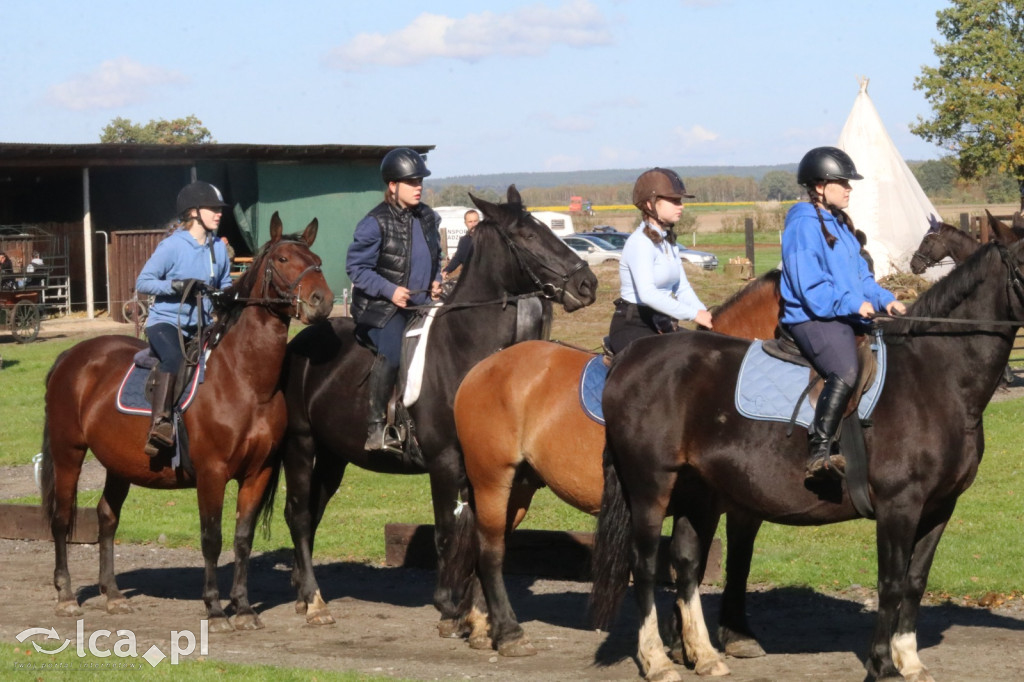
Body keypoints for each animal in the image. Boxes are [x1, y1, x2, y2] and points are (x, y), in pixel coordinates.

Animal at [41, 214, 329, 630]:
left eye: (317, 260)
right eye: (284, 258)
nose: (322, 301)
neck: (244, 379)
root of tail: (71, 357)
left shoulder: (257, 472)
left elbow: (242, 538)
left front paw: (243, 608)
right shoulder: (211, 472)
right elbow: (212, 538)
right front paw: (215, 609)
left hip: (119, 463)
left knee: (107, 517)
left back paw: (112, 594)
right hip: (69, 453)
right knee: (62, 518)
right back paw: (65, 596)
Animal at [280, 183, 598, 630]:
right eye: (527, 235)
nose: (588, 284)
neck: (467, 351)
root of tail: (301, 342)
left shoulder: (486, 465)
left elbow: (484, 532)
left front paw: (478, 612)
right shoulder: (445, 461)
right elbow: (448, 530)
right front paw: (450, 605)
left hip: (332, 456)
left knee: (312, 511)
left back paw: (301, 591)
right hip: (300, 443)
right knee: (299, 514)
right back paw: (312, 600)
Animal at [456, 264, 782, 655]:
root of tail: (484, 366)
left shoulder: (739, 507)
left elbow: (736, 563)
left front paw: (731, 634)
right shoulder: (703, 503)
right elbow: (694, 564)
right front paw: (683, 637)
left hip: (517, 489)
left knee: (488, 542)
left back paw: (481, 624)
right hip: (492, 479)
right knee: (491, 550)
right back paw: (508, 633)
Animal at [589, 238, 1024, 679]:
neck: (933, 376)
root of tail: (630, 357)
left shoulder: (939, 507)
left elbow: (915, 582)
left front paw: (909, 659)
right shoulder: (899, 505)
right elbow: (891, 583)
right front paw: (883, 665)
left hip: (697, 490)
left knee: (687, 561)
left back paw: (705, 655)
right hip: (650, 487)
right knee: (644, 564)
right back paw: (657, 659)